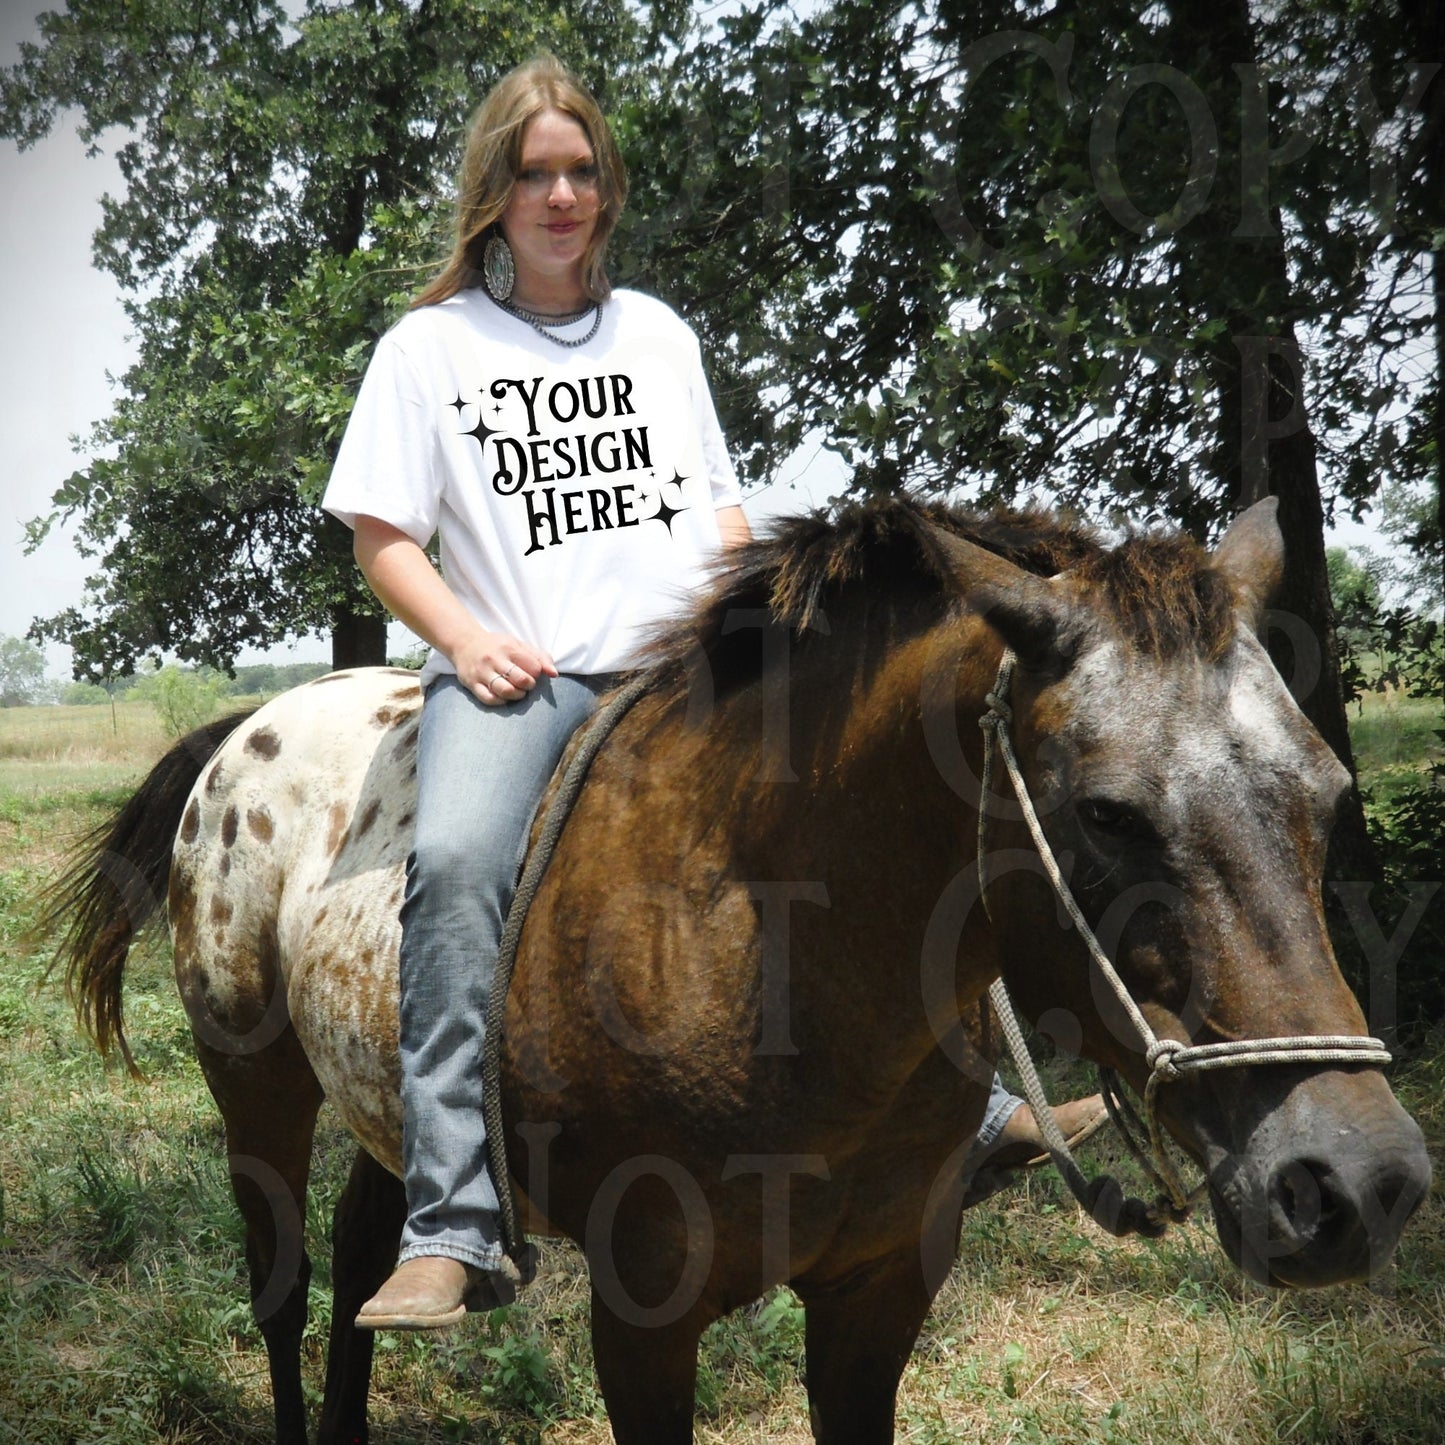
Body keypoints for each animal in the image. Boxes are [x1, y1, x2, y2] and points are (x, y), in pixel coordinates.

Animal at [50, 499, 1427, 1445]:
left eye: (1327, 793)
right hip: (257, 1087)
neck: (765, 944)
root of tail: (246, 729)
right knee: (283, 1286)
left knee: (363, 1247)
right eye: (1105, 812)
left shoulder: (879, 1294)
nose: (1352, 1182)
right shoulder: (642, 1319)